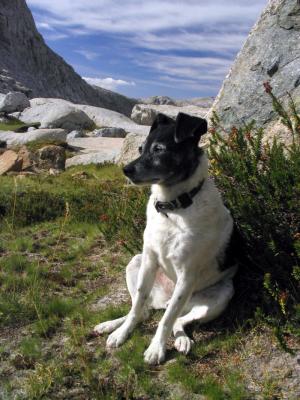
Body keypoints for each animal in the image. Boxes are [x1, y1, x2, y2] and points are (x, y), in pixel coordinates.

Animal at [92, 111, 238, 364]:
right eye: (141, 149)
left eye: (159, 149)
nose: (126, 170)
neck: (172, 208)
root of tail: (165, 299)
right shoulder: (149, 260)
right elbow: (137, 307)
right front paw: (122, 334)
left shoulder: (187, 275)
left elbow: (167, 320)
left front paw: (156, 348)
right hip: (135, 263)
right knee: (143, 310)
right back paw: (111, 326)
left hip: (219, 295)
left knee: (176, 318)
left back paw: (182, 340)